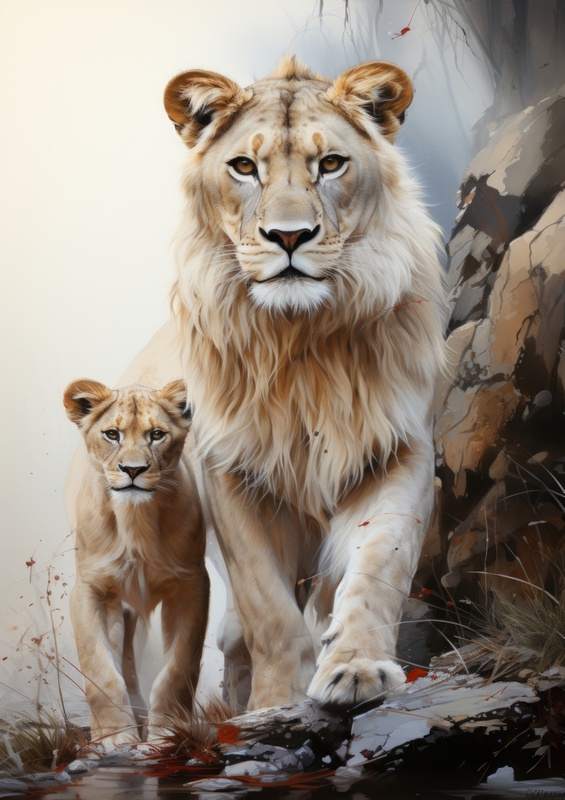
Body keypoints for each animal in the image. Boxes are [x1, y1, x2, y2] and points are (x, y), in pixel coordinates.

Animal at [64, 379, 209, 746]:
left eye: (156, 435)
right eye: (112, 434)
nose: (133, 470)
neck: (135, 520)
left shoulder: (191, 585)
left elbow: (178, 669)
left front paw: (168, 732)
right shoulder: (90, 589)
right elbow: (101, 670)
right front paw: (114, 736)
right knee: (123, 662)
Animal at [123, 56, 446, 711]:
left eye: (332, 164)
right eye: (245, 167)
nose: (290, 236)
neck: (300, 347)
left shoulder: (399, 450)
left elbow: (378, 566)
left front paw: (356, 669)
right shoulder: (233, 473)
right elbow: (267, 610)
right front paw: (274, 703)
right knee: (236, 636)